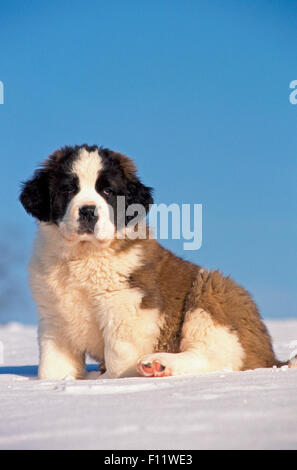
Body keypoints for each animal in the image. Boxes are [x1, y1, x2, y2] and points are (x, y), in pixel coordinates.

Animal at [19, 143, 294, 378]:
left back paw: (160, 363)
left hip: (212, 291)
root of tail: (271, 357)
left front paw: (107, 381)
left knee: (219, 356)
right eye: (68, 189)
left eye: (107, 191)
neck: (82, 256)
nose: (88, 211)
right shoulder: (55, 316)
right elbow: (53, 362)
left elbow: (118, 355)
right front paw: (55, 382)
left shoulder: (126, 306)